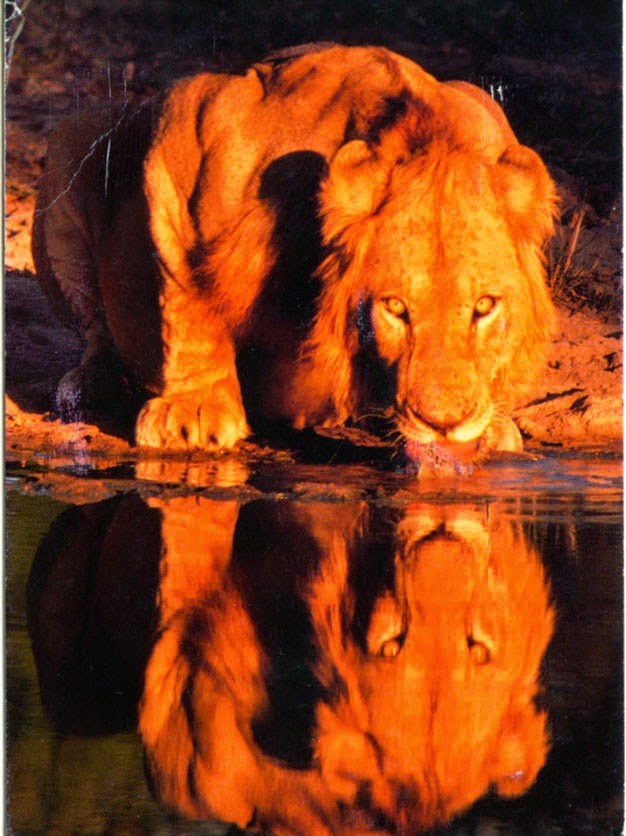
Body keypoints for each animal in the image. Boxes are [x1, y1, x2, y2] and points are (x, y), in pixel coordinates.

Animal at [32, 44, 557, 460]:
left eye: (485, 306)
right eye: (395, 307)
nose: (445, 424)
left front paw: (492, 426)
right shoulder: (189, 125)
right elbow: (184, 289)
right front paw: (193, 410)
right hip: (70, 147)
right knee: (95, 329)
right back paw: (90, 384)